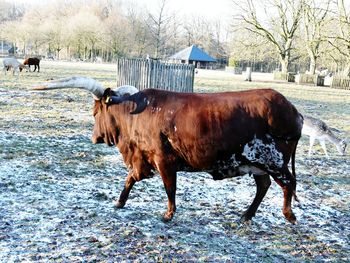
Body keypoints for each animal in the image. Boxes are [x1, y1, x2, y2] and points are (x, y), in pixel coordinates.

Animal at [34, 77, 304, 225]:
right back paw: (247, 215)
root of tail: (293, 110)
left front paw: (168, 214)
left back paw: (288, 214)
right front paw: (119, 202)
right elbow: (131, 179)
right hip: (258, 163)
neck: (136, 114)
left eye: (95, 112)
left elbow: (169, 188)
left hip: (273, 160)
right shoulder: (143, 160)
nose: (94, 138)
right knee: (264, 186)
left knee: (288, 183)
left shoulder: (163, 160)